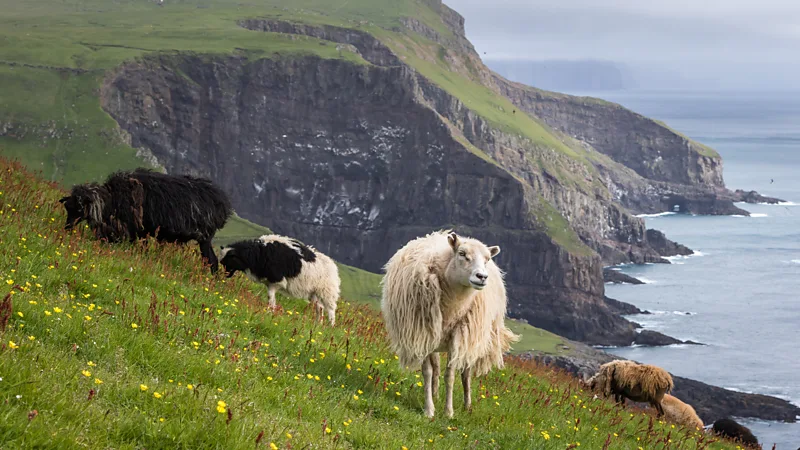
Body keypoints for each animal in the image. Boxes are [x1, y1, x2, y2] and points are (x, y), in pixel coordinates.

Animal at [59, 167, 231, 272]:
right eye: (67, 207)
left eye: (79, 208)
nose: (67, 227)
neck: (110, 200)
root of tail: (222, 203)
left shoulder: (138, 230)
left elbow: (143, 250)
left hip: (205, 237)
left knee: (212, 261)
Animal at [382, 232, 520, 418]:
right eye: (462, 253)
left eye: (487, 259)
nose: (482, 277)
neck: (453, 304)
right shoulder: (423, 332)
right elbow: (428, 372)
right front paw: (429, 409)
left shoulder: (459, 334)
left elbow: (450, 375)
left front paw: (448, 412)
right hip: (435, 336)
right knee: (436, 367)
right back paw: (434, 395)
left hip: (471, 335)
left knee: (466, 373)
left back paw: (467, 406)